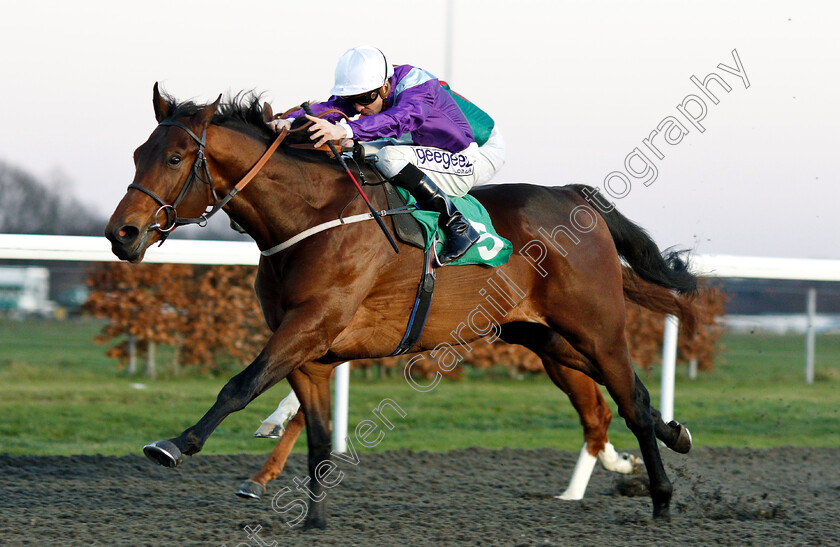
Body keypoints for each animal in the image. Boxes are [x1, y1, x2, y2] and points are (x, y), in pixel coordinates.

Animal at [105, 86, 696, 532]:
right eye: (136, 155)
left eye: (175, 158)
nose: (121, 233)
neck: (309, 216)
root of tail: (578, 198)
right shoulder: (310, 352)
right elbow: (317, 436)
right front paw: (313, 520)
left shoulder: (310, 325)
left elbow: (239, 385)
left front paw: (174, 444)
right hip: (545, 337)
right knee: (627, 399)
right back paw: (675, 436)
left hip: (596, 328)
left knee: (631, 403)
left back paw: (663, 499)